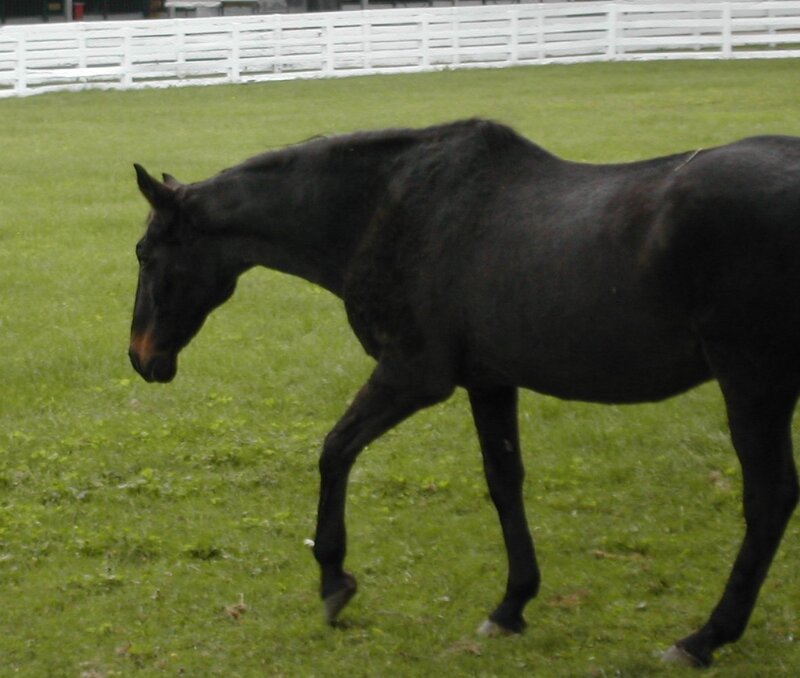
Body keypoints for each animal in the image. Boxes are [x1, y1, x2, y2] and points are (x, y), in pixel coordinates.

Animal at [129, 119, 800, 667]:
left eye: (145, 253)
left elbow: (335, 451)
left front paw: (334, 580)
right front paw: (512, 605)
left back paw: (704, 638)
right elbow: (504, 482)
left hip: (753, 380)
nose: (140, 358)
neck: (383, 208)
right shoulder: (490, 381)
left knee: (769, 500)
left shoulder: (413, 376)